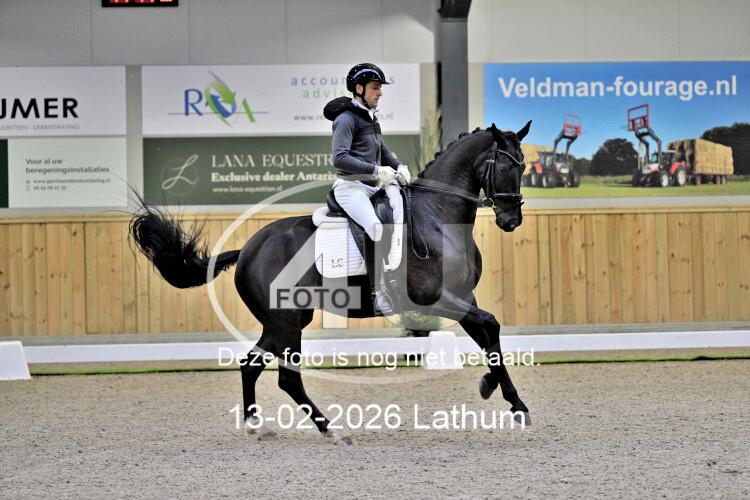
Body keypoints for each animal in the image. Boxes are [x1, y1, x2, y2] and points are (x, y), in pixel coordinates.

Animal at [129, 121, 532, 444]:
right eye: (505, 166)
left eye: (524, 165)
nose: (511, 220)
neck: (438, 216)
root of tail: (247, 250)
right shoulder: (432, 298)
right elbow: (490, 325)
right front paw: (503, 395)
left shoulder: (463, 297)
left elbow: (489, 334)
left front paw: (506, 396)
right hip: (286, 323)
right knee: (287, 379)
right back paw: (332, 430)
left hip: (284, 322)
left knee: (251, 364)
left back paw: (257, 426)